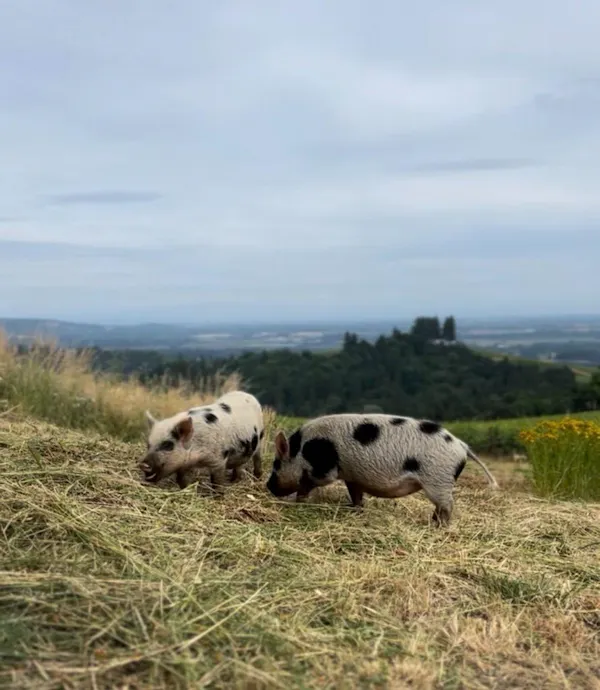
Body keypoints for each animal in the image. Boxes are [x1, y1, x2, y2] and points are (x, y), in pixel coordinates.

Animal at [266, 413, 498, 526]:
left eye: (276, 464)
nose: (268, 486)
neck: (302, 450)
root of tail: (462, 446)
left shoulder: (325, 469)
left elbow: (308, 484)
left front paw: (299, 501)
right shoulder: (352, 476)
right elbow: (356, 494)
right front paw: (356, 510)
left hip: (438, 479)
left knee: (448, 505)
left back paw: (438, 527)